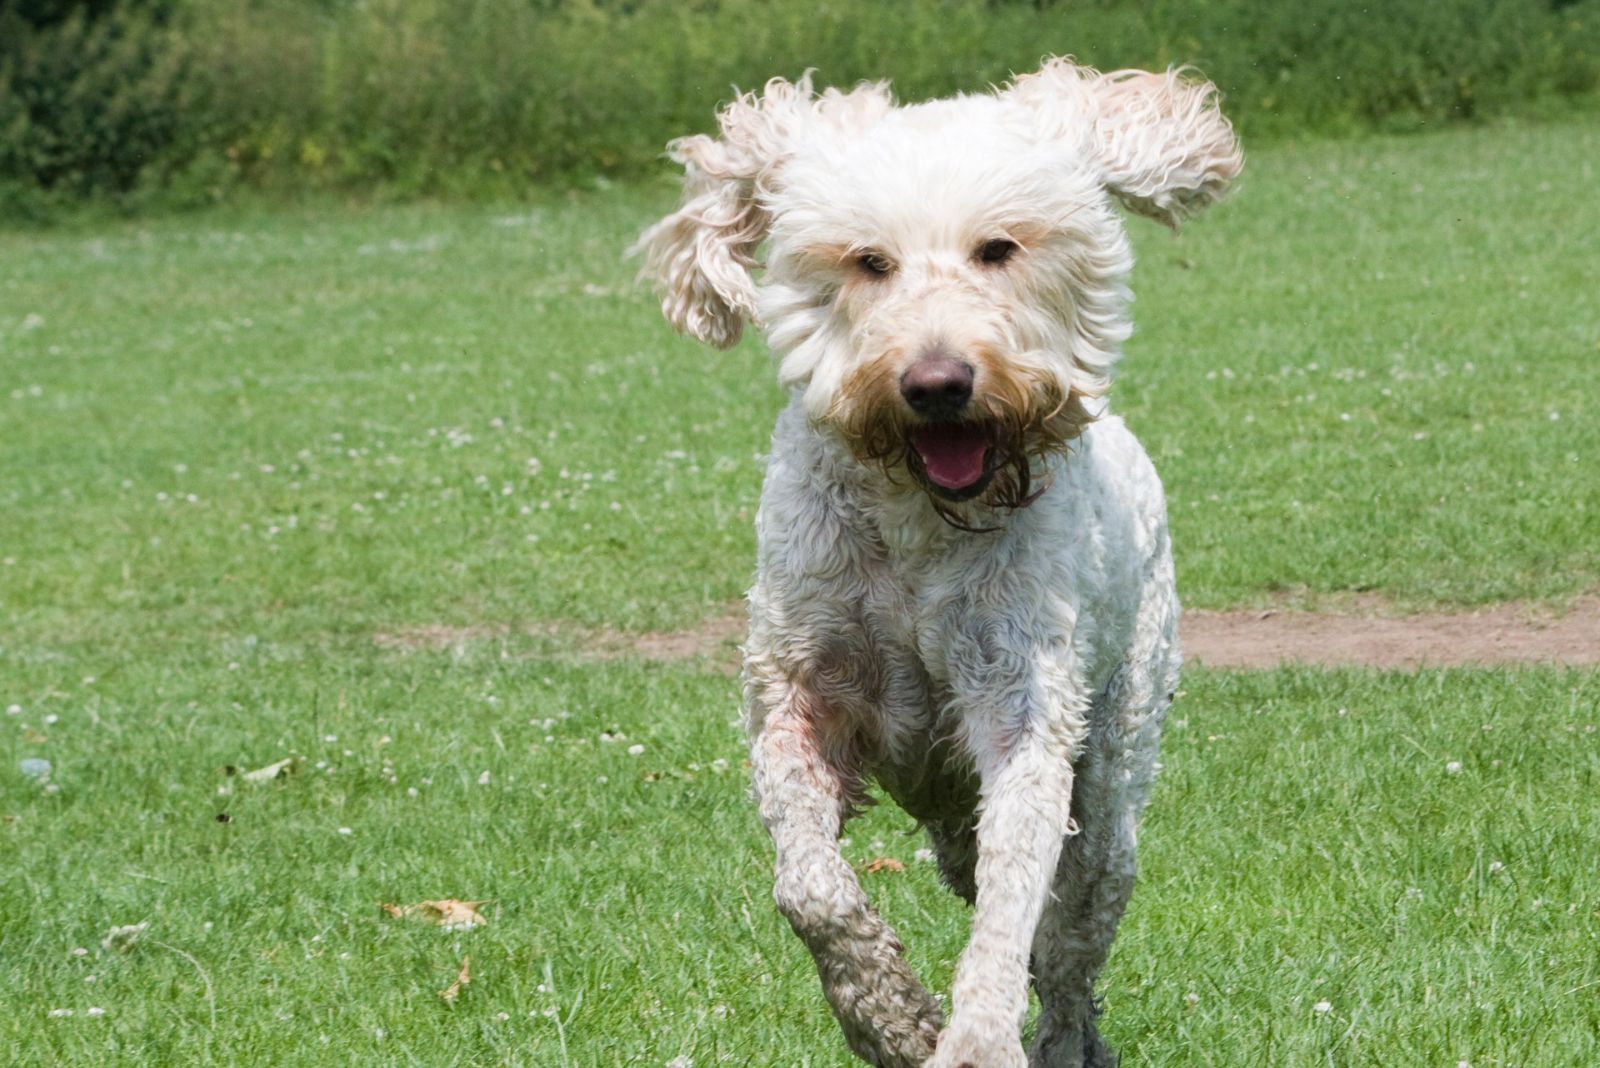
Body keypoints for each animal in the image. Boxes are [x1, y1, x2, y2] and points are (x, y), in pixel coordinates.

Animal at [630, 58, 1241, 1068]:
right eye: (869, 261)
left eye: (998, 248)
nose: (938, 383)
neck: (920, 521)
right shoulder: (798, 696)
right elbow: (810, 888)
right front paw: (886, 1015)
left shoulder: (1022, 701)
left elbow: (1011, 904)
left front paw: (974, 1035)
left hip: (1116, 768)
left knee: (1069, 939)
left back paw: (1068, 1039)